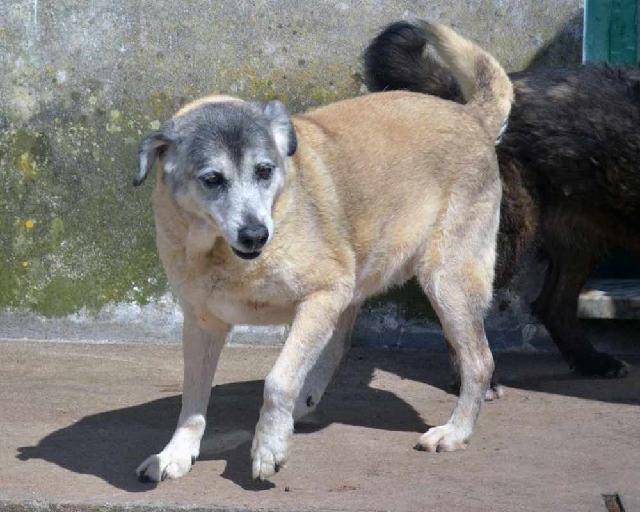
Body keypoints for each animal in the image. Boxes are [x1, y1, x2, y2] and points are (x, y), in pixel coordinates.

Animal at [134, 21, 510, 484]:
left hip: (446, 282)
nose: (256, 234)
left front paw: (268, 447)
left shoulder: (322, 294)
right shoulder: (203, 325)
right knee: (338, 347)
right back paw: (303, 404)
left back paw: (455, 432)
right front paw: (175, 453)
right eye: (212, 179)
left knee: (478, 361)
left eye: (264, 170)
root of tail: (469, 115)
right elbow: (192, 401)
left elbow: (277, 379)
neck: (223, 256)